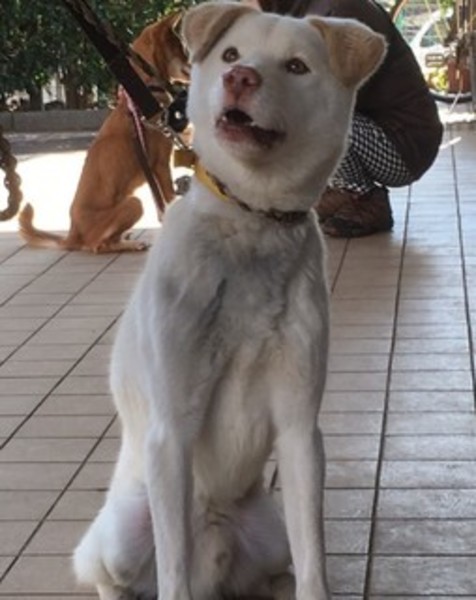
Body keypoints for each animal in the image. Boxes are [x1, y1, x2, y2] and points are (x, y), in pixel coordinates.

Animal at [18, 11, 189, 253]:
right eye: (182, 49)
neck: (143, 94)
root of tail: (72, 234)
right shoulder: (160, 164)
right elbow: (170, 200)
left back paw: (127, 238)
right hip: (133, 204)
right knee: (99, 245)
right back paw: (131, 244)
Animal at [73, 2, 386, 599]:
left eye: (296, 65)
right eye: (230, 54)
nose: (239, 78)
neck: (251, 219)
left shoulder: (300, 428)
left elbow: (313, 557)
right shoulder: (172, 429)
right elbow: (171, 573)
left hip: (269, 534)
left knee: (273, 566)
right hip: (121, 534)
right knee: (111, 572)